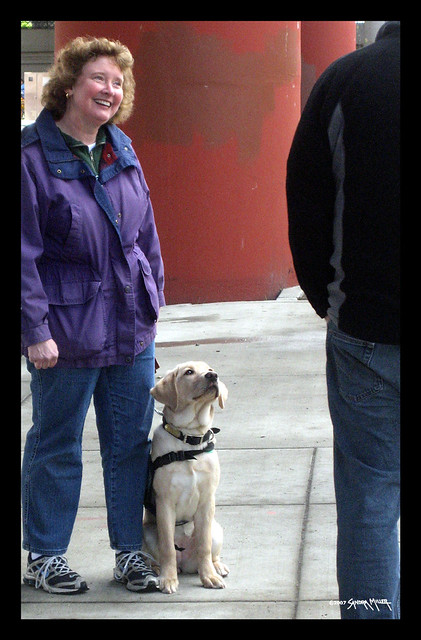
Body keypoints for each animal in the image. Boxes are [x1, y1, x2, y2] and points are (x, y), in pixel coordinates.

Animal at [144, 362, 230, 592]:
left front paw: (208, 576)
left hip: (217, 529)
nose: (213, 376)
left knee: (209, 552)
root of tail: (186, 564)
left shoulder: (207, 501)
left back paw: (216, 567)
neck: (189, 441)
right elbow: (167, 547)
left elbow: (204, 545)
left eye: (210, 369)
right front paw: (168, 579)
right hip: (146, 531)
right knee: (156, 555)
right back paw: (157, 569)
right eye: (188, 372)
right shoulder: (165, 502)